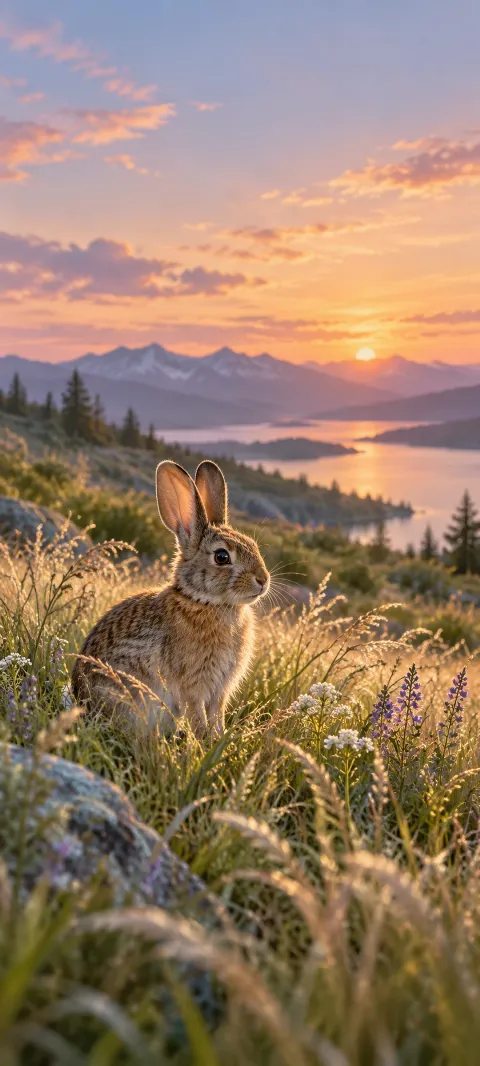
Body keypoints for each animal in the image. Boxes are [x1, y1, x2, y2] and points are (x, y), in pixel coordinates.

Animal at [71, 459, 270, 737]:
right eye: (222, 557)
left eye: (253, 545)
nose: (263, 580)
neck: (205, 601)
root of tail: (82, 703)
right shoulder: (194, 685)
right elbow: (198, 714)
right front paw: (204, 739)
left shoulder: (219, 690)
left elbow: (216, 715)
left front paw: (218, 738)